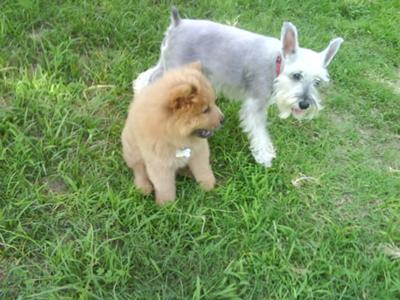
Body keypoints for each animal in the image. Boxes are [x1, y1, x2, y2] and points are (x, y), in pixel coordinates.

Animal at [121, 62, 225, 204]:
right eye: (205, 110)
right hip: (132, 150)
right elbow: (165, 186)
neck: (177, 138)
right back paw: (143, 187)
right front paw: (166, 205)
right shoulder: (159, 165)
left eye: (213, 103)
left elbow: (203, 170)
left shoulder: (199, 152)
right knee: (139, 168)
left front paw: (208, 186)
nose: (223, 119)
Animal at [134, 7, 344, 166]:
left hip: (167, 64)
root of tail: (178, 23)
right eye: (296, 75)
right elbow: (259, 131)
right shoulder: (255, 104)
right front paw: (264, 156)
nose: (305, 104)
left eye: (317, 82)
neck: (276, 62)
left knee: (146, 78)